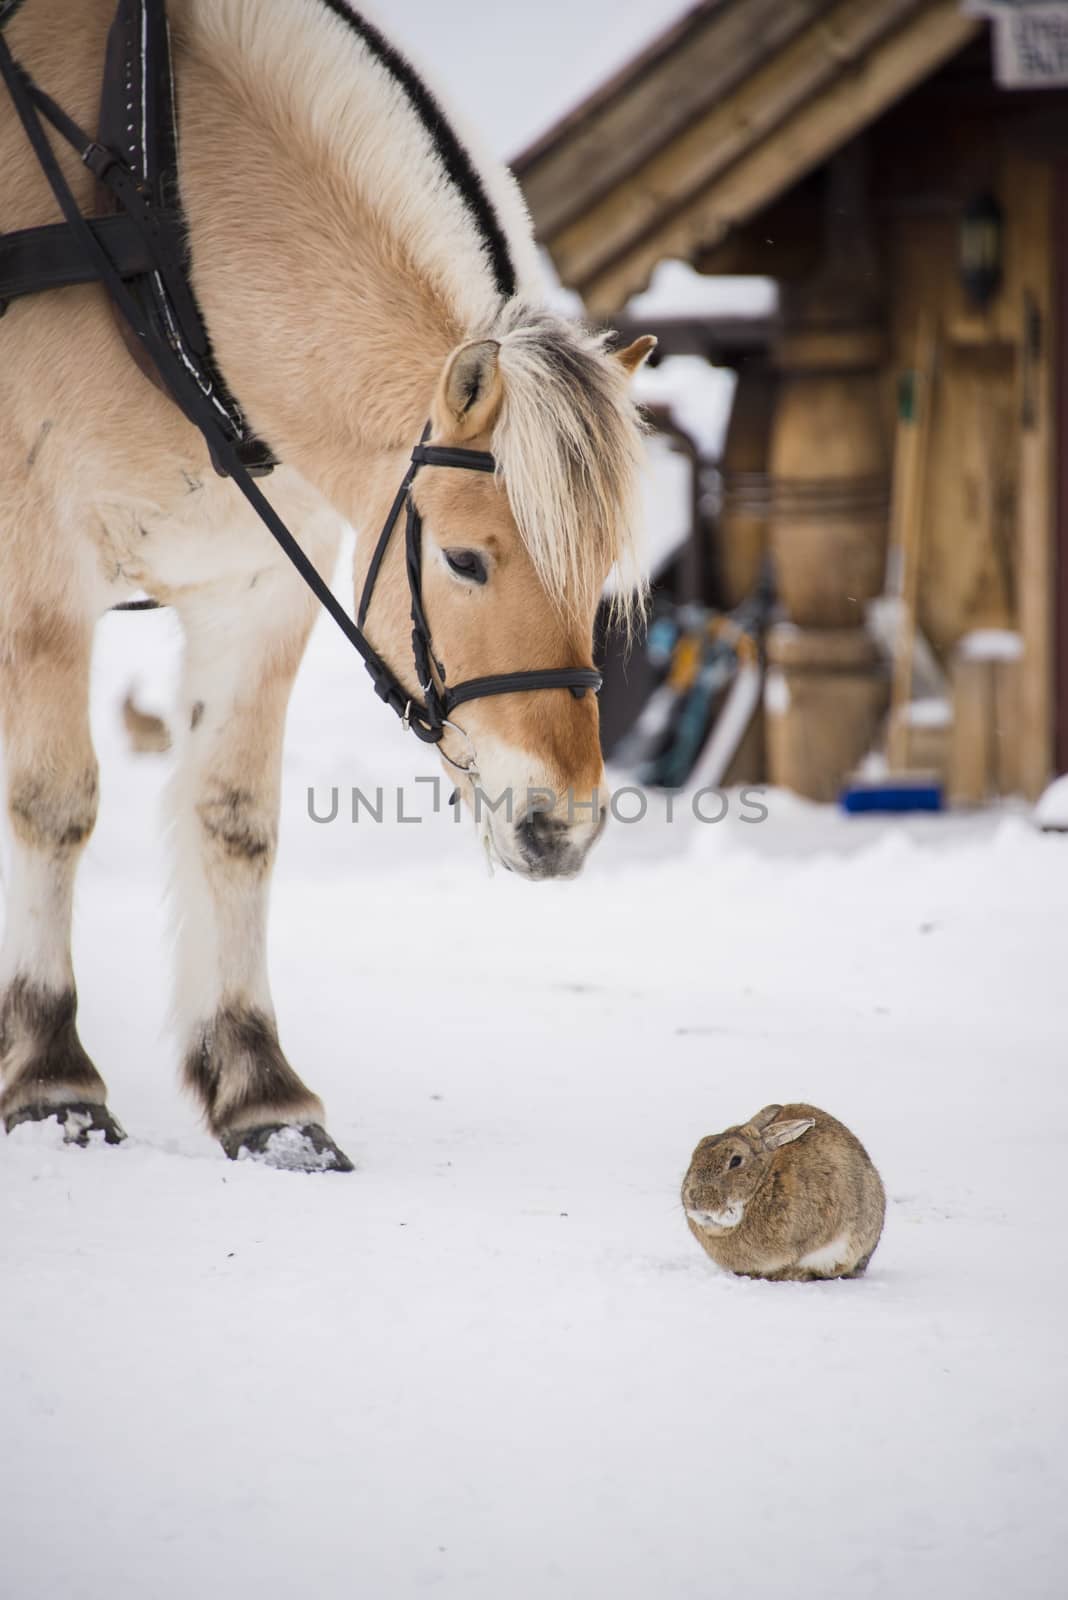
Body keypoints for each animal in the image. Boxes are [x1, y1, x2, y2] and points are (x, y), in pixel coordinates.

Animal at [0, 3, 655, 1177]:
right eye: (465, 560)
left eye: (600, 573)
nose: (563, 830)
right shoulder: (42, 571)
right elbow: (53, 804)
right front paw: (50, 1076)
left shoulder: (259, 584)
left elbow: (234, 820)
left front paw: (260, 1091)